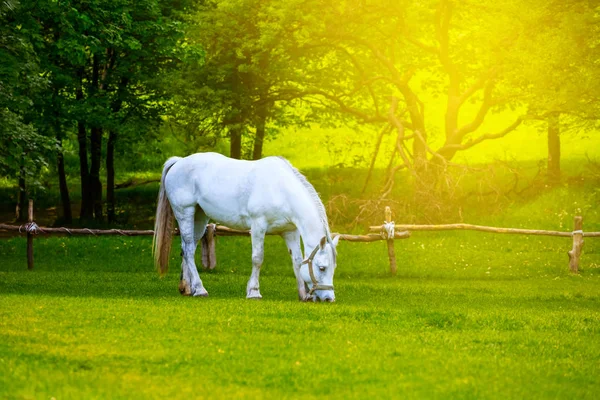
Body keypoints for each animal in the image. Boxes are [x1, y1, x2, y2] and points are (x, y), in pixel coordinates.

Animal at [151, 154, 338, 304]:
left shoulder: (290, 232)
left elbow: (297, 261)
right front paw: (254, 292)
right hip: (185, 213)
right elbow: (257, 258)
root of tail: (179, 161)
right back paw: (200, 289)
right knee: (189, 250)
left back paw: (187, 288)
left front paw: (304, 295)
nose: (329, 298)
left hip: (200, 217)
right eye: (322, 267)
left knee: (186, 248)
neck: (281, 190)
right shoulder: (258, 226)